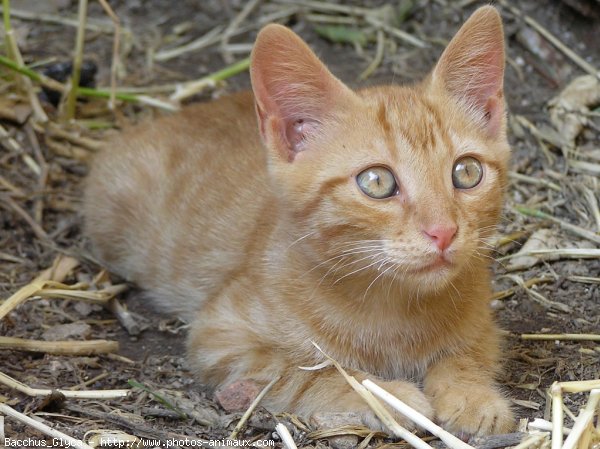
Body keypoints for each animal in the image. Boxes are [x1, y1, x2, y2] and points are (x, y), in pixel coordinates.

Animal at [85, 5, 516, 436]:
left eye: (466, 172)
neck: (393, 308)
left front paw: (472, 395)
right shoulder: (222, 338)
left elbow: (468, 352)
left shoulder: (483, 321)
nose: (443, 231)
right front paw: (390, 395)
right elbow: (312, 372)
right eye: (377, 182)